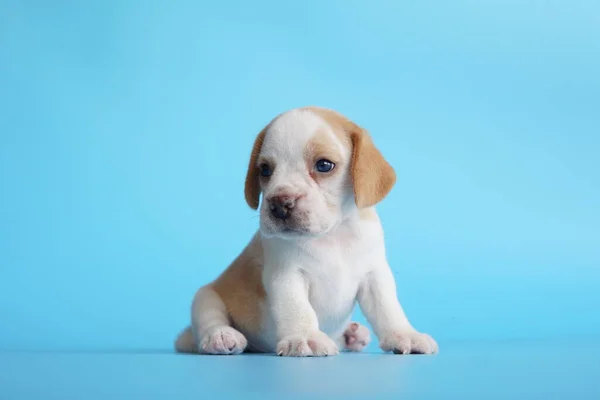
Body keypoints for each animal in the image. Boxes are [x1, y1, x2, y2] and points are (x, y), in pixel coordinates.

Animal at [173, 105, 436, 356]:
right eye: (265, 170)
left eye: (324, 165)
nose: (280, 203)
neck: (332, 235)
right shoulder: (286, 276)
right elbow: (298, 309)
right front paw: (306, 337)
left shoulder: (374, 275)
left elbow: (387, 308)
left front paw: (404, 334)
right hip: (205, 297)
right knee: (209, 320)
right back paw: (220, 336)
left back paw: (351, 336)